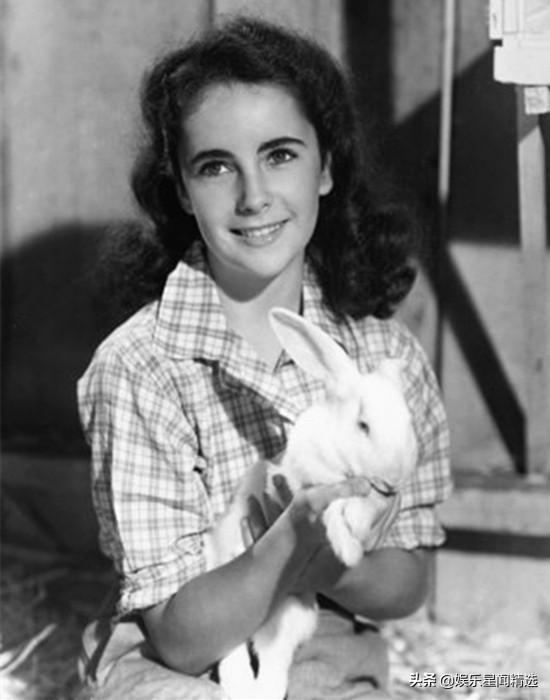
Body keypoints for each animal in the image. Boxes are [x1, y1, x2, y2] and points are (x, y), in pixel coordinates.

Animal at [203, 307, 418, 700]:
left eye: (409, 423)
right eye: (363, 425)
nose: (394, 478)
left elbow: (360, 510)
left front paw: (354, 537)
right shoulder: (303, 482)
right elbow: (333, 509)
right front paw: (347, 547)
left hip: (294, 614)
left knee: (272, 663)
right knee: (230, 650)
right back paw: (238, 687)